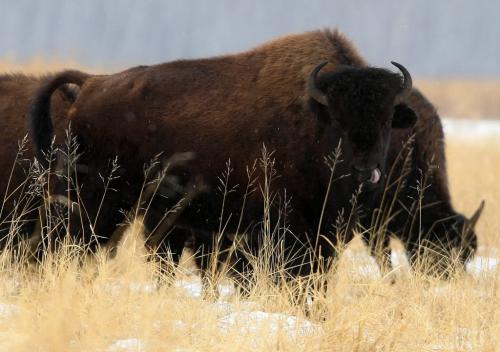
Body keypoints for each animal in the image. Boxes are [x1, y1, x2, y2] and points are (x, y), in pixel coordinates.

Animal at [29, 28, 482, 280]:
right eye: (337, 118)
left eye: (389, 119)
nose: (364, 169)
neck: (311, 119)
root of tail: (91, 86)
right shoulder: (287, 229)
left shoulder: (330, 233)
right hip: (102, 203)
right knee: (81, 247)